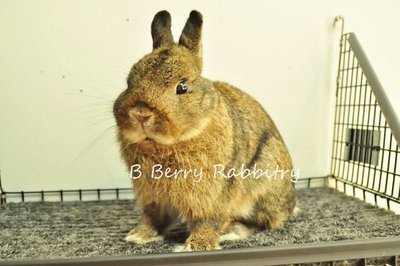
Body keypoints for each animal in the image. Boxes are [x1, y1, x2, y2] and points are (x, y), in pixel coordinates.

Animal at [114, 9, 296, 251]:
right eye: (129, 82)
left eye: (182, 86)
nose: (141, 114)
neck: (166, 144)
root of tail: (291, 206)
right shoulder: (153, 197)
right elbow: (153, 217)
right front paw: (138, 235)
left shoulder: (212, 195)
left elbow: (206, 221)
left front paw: (197, 245)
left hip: (262, 184)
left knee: (263, 222)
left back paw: (232, 231)